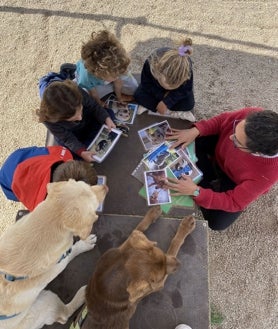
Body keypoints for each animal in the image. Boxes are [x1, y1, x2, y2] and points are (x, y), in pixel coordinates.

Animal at [0, 179, 107, 328]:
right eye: (95, 203)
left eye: (86, 184)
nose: (106, 187)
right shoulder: (59, 262)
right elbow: (70, 252)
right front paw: (84, 244)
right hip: (46, 301)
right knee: (64, 315)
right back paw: (83, 295)